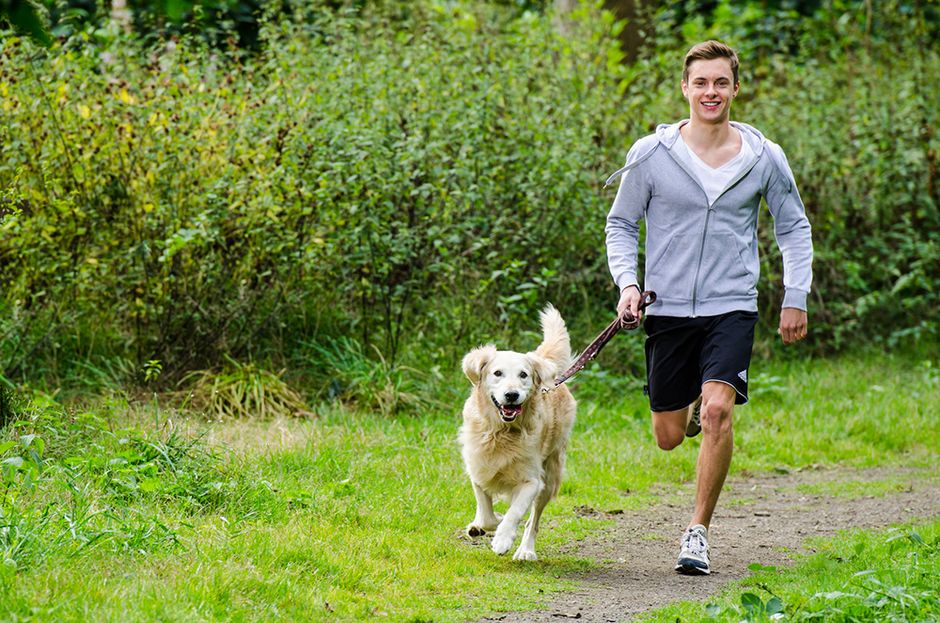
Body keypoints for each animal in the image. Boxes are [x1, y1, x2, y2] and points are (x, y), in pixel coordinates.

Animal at [458, 304, 576, 564]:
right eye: (497, 373)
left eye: (523, 375)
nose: (511, 395)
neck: (500, 432)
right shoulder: (478, 468)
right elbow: (486, 514)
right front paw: (483, 525)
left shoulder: (532, 480)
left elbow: (516, 513)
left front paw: (503, 539)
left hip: (550, 475)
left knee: (534, 520)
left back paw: (526, 550)